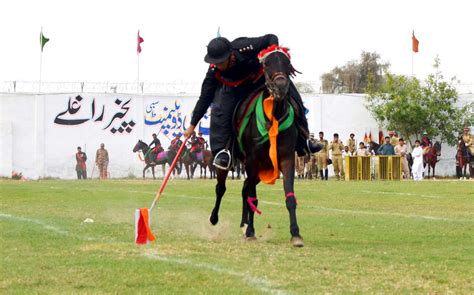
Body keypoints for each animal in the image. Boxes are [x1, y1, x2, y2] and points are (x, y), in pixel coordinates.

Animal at [208, 46, 304, 249]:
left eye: (288, 64)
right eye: (266, 64)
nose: (281, 85)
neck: (274, 116)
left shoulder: (286, 159)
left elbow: (290, 197)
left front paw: (296, 234)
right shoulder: (252, 160)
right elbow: (253, 197)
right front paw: (251, 231)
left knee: (244, 189)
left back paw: (243, 225)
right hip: (232, 163)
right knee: (221, 188)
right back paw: (215, 218)